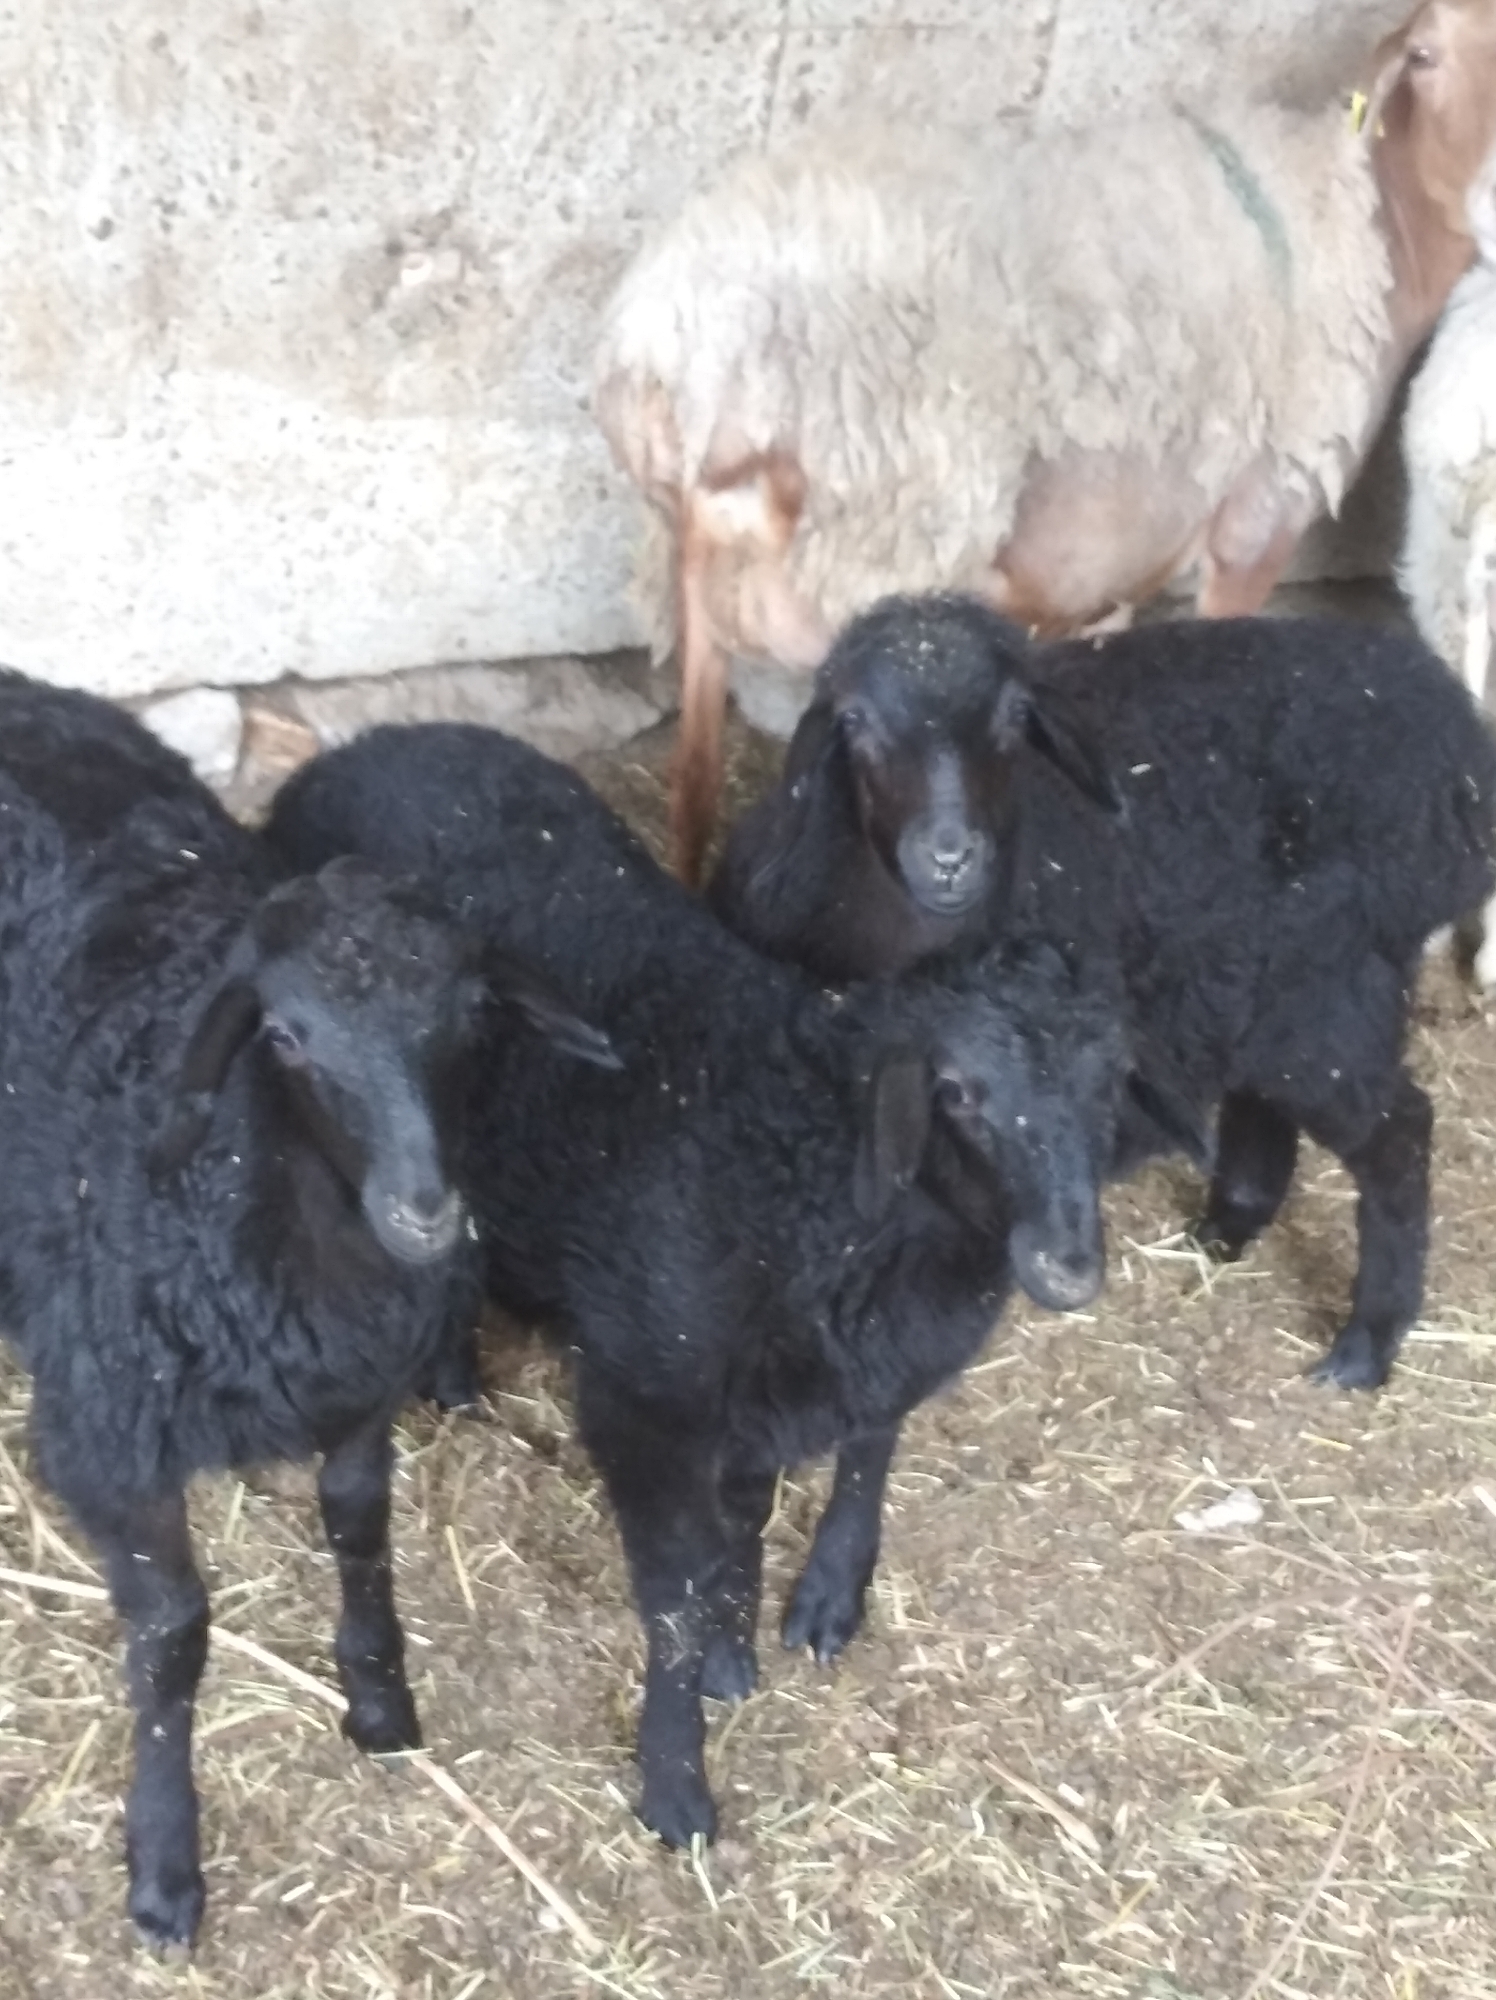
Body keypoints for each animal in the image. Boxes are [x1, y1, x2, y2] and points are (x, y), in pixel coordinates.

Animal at [0, 672, 612, 1946]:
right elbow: (173, 1635)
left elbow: (358, 1525)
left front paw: (379, 1695)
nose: (426, 1207)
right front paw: (165, 1862)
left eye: (471, 1013)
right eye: (283, 1035)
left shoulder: (357, 1388)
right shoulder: (113, 1432)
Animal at [267, 721, 1205, 1850]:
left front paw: (781, 1618)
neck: (811, 1169)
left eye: (1110, 1083)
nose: (1068, 1261)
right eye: (958, 1093)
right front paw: (676, 1781)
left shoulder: (826, 1377)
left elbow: (816, 1483)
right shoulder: (644, 1397)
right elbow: (672, 1598)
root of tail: (364, 742)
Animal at [593, 0, 1496, 885]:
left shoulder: (1115, 560)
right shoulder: (1258, 517)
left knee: (692, 791)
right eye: (1423, 56)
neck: (1371, 224)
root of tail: (690, 348)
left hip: (697, 582)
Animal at [709, 593, 1496, 1393]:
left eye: (1013, 715)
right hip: (1262, 985)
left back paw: (1365, 1344)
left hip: (1330, 997)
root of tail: (1444, 718)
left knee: (1397, 1133)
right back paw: (1227, 1226)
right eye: (855, 720)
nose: (952, 857)